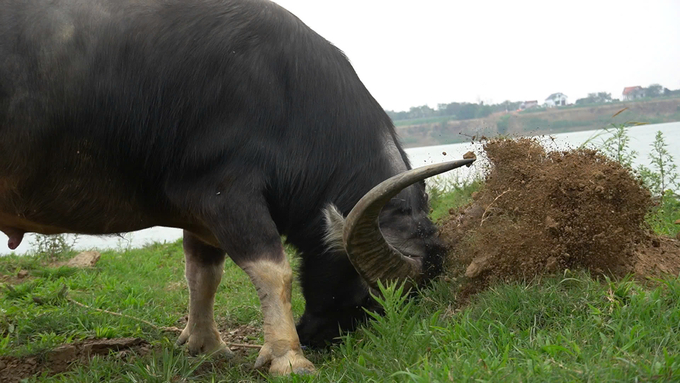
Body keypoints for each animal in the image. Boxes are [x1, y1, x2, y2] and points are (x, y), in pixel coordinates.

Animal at [0, 0, 472, 378]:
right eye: (371, 296)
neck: (283, 91)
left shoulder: (200, 213)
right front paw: (288, 357)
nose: (316, 335)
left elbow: (203, 274)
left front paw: (205, 344)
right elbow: (273, 270)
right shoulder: (225, 194)